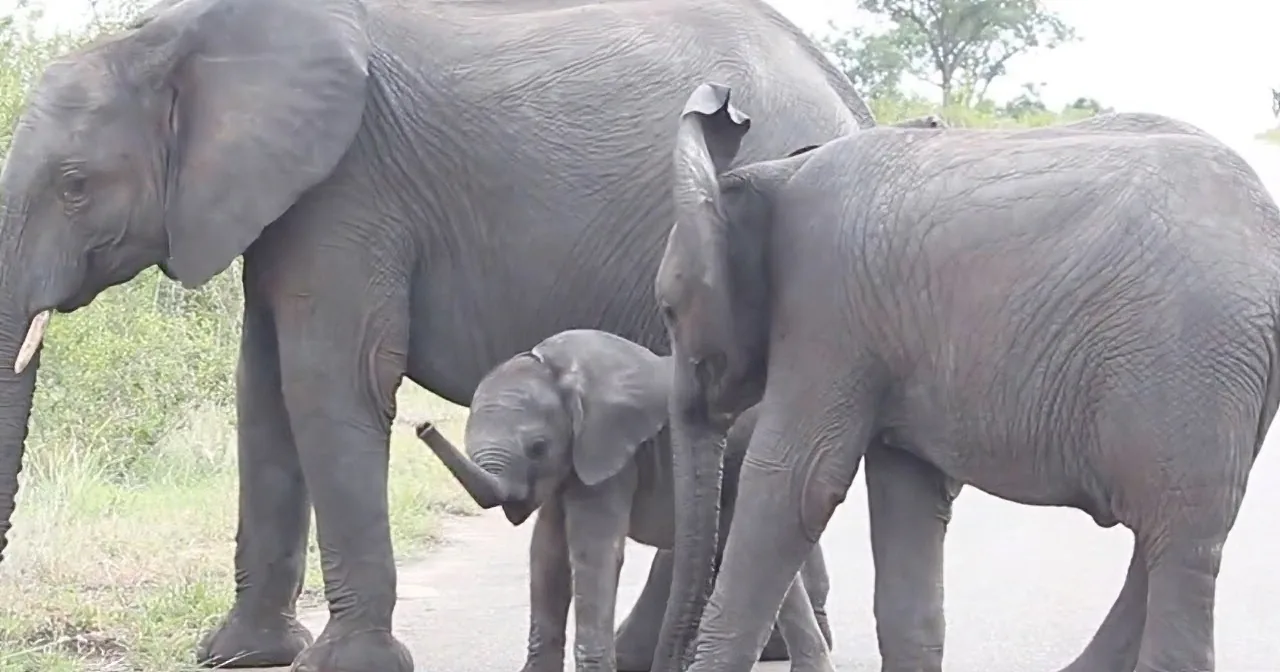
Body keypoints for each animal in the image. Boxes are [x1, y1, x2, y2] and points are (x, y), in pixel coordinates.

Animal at [414, 328, 833, 672]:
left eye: (538, 447)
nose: (422, 425)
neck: (559, 370)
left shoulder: (611, 455)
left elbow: (593, 554)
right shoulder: (571, 465)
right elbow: (546, 556)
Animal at [652, 82, 1280, 672]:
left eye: (668, 312)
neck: (773, 174)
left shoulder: (825, 312)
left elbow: (797, 484)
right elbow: (907, 491)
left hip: (1194, 357)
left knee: (1179, 536)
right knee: (1162, 538)